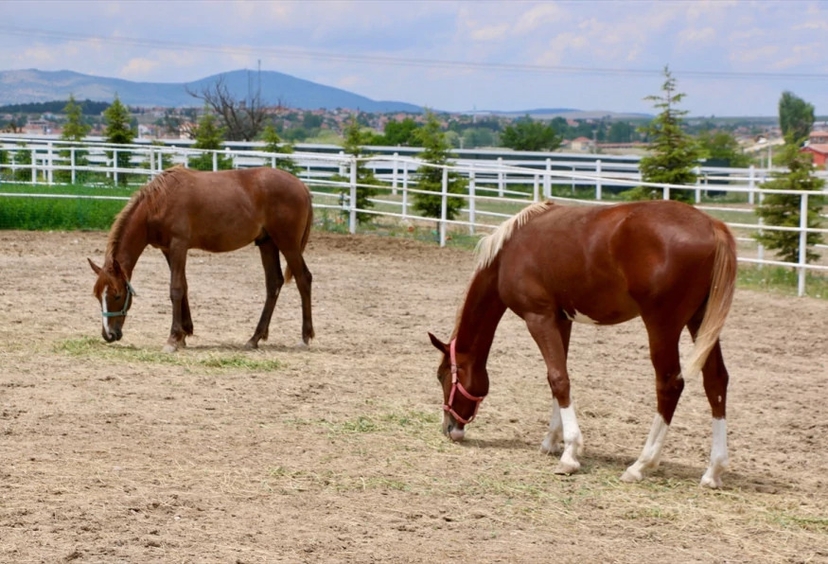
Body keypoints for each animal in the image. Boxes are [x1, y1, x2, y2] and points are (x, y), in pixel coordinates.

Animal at [89, 166, 314, 353]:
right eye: (99, 296)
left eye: (117, 295)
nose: (108, 335)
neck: (159, 203)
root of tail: (302, 186)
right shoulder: (168, 250)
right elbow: (184, 287)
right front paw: (183, 334)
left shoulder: (178, 246)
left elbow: (176, 289)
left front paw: (172, 339)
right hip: (267, 243)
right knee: (273, 283)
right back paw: (254, 338)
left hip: (287, 244)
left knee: (304, 279)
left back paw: (305, 337)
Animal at [429, 199, 737, 488]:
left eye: (442, 376)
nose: (450, 428)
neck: (509, 250)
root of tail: (713, 226)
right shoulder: (560, 320)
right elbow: (556, 377)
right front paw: (552, 441)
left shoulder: (538, 318)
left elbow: (559, 379)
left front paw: (570, 454)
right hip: (700, 324)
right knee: (716, 382)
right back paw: (713, 471)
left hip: (663, 327)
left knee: (670, 384)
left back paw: (641, 464)